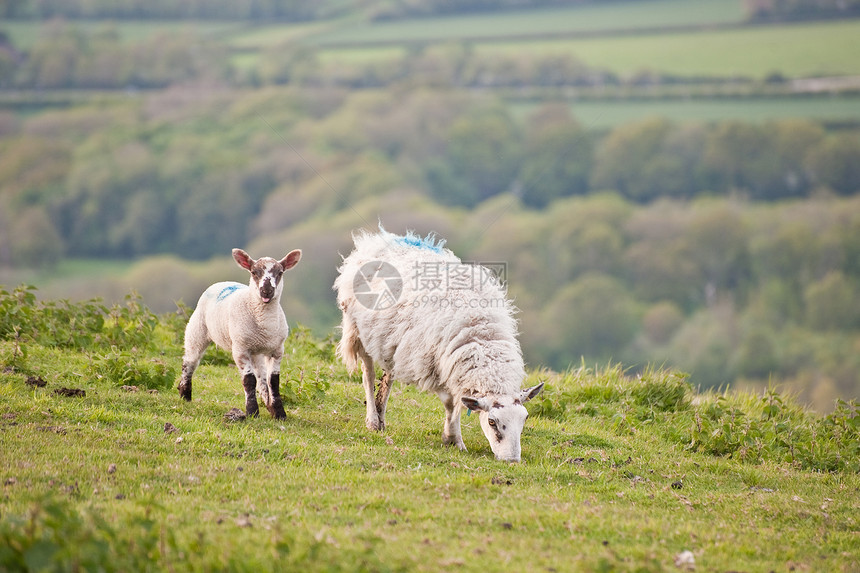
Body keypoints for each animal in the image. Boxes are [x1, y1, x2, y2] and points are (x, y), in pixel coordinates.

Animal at [178, 248, 302, 418]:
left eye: (280, 272)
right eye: (254, 272)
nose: (267, 291)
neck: (264, 323)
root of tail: (223, 282)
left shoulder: (277, 350)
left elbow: (273, 381)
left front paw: (279, 413)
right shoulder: (240, 349)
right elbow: (249, 380)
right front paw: (252, 412)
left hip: (256, 350)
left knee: (262, 377)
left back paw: (267, 403)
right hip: (197, 330)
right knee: (190, 361)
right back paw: (185, 394)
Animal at [332, 228, 540, 460]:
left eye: (524, 419)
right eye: (492, 422)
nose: (511, 460)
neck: (481, 336)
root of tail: (381, 238)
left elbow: (456, 402)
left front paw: (453, 438)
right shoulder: (434, 363)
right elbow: (451, 403)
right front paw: (453, 439)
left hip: (390, 340)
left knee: (388, 377)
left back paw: (381, 415)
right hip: (359, 330)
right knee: (368, 375)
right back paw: (373, 421)